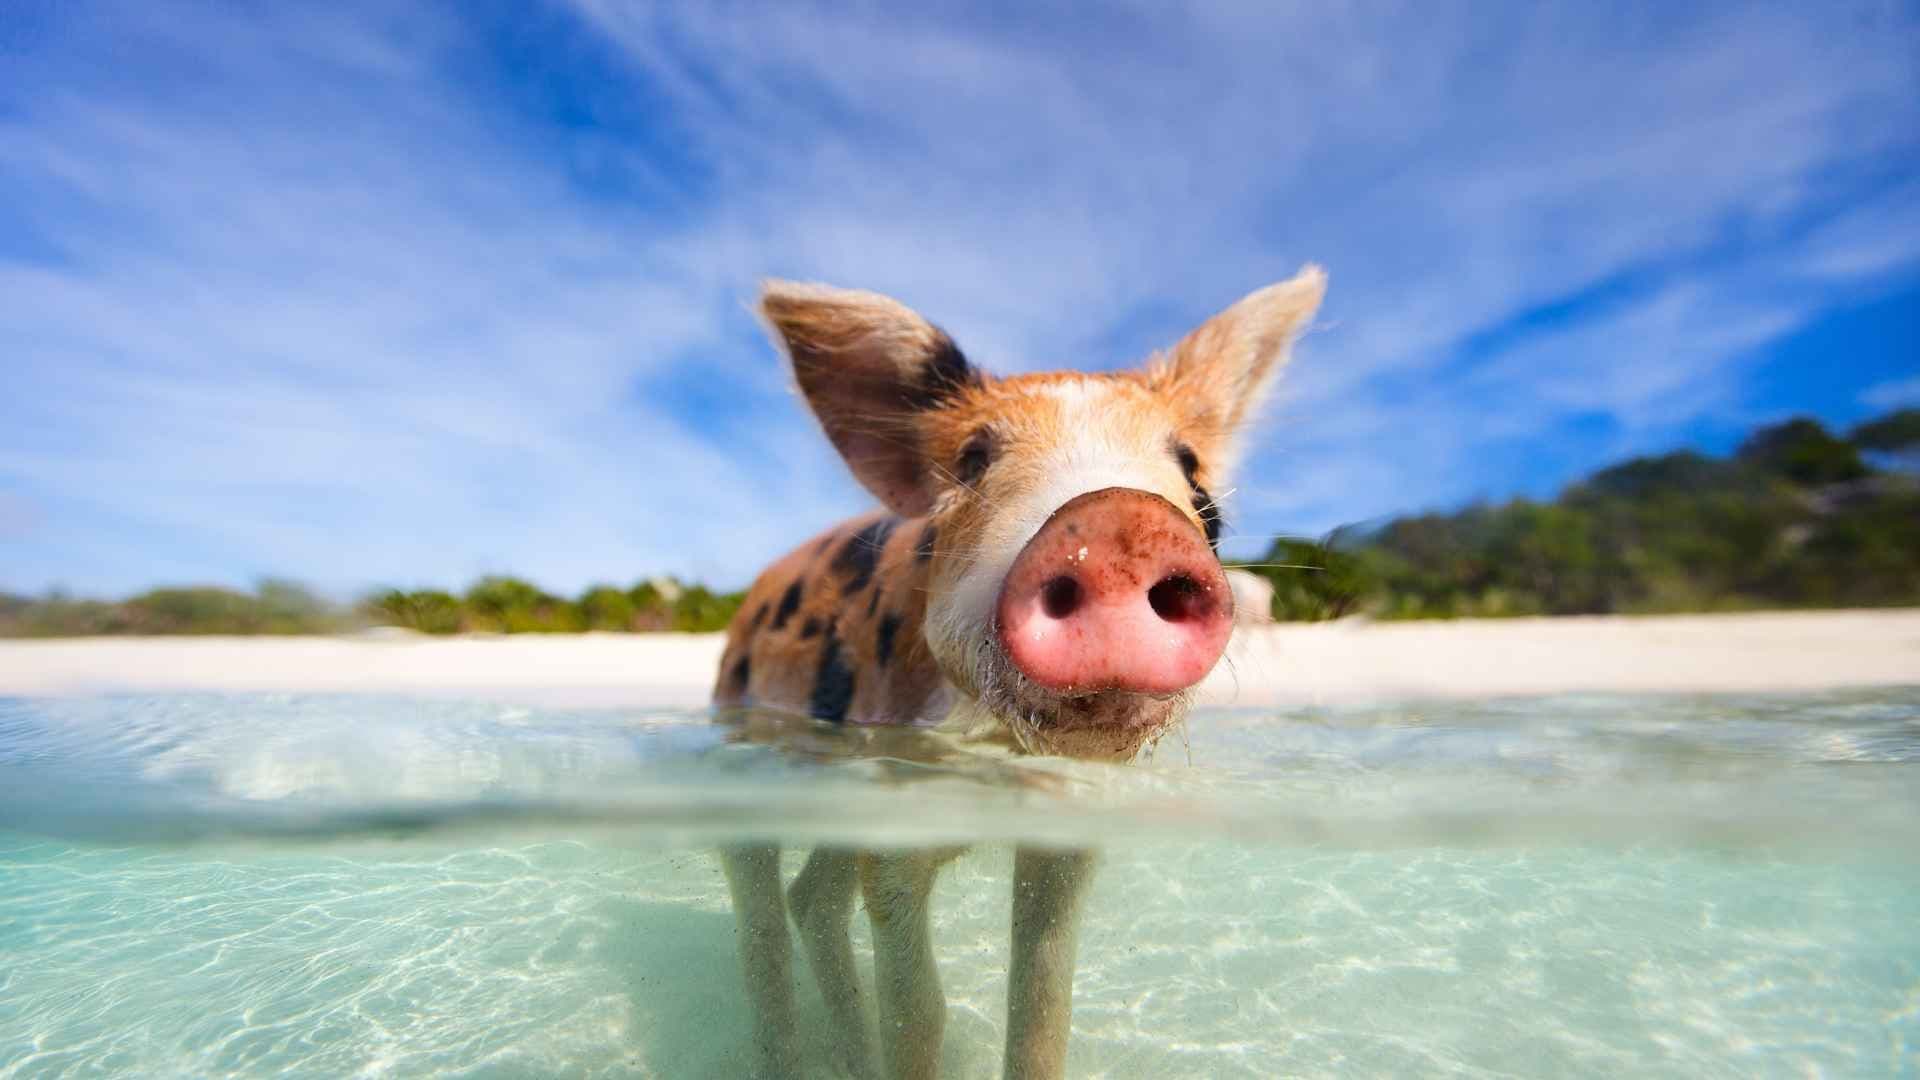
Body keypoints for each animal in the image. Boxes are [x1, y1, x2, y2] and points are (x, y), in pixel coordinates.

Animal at [712, 266, 1325, 1079]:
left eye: (1191, 466)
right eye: (974, 458)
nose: (1118, 521)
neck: (1001, 754)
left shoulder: (1067, 826)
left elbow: (1043, 1003)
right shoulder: (893, 811)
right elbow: (921, 1013)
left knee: (812, 898)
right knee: (761, 918)